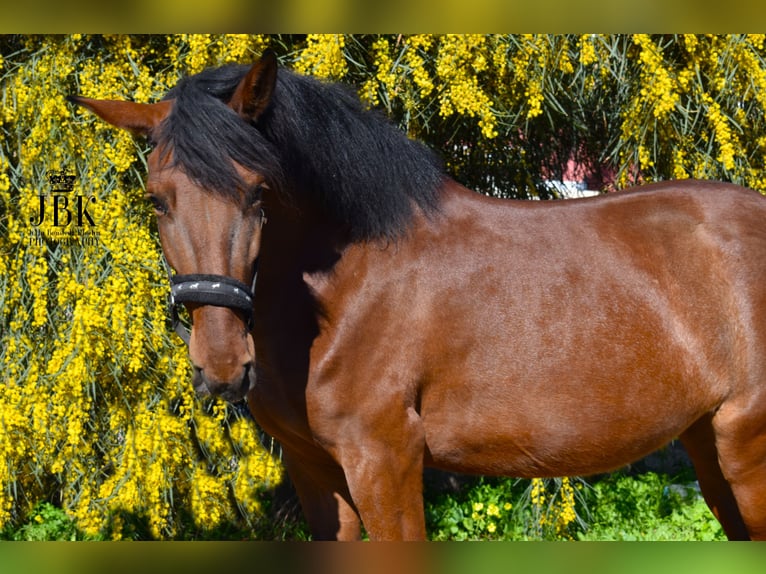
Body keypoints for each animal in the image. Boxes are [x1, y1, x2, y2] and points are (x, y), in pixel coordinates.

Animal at [69, 51, 766, 541]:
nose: (221, 366)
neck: (350, 292)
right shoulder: (315, 472)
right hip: (708, 448)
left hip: (745, 452)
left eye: (259, 192)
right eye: (157, 200)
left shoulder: (385, 462)